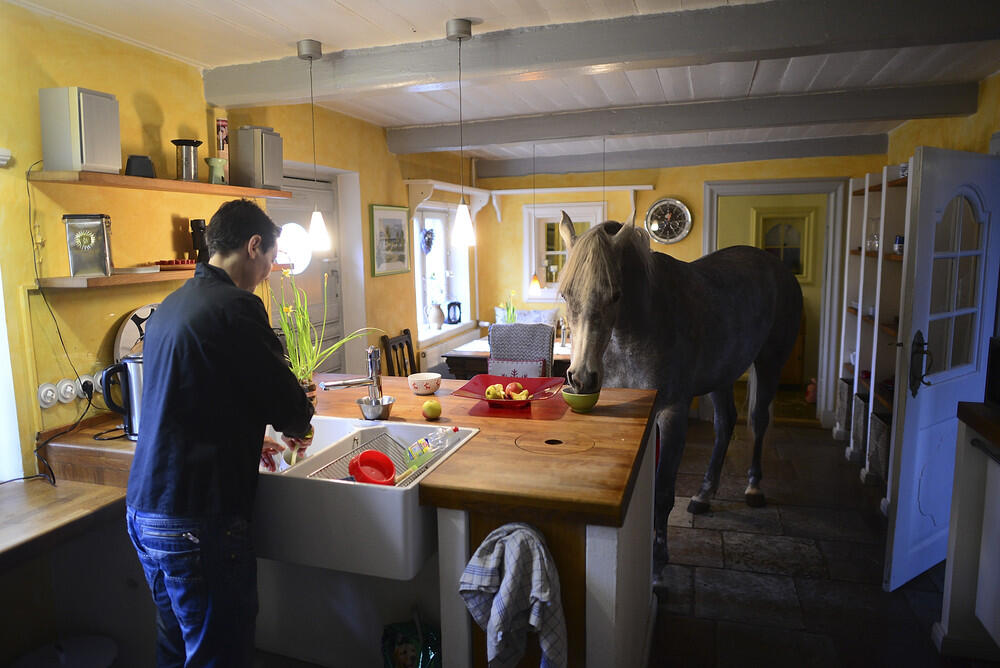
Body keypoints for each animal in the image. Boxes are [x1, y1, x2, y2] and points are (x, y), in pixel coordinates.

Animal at [556, 213, 804, 568]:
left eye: (615, 295)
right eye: (565, 295)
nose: (581, 378)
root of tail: (775, 265)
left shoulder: (671, 414)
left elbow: (662, 491)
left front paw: (659, 556)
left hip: (770, 362)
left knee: (758, 421)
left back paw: (754, 488)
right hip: (722, 375)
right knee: (725, 424)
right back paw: (704, 494)